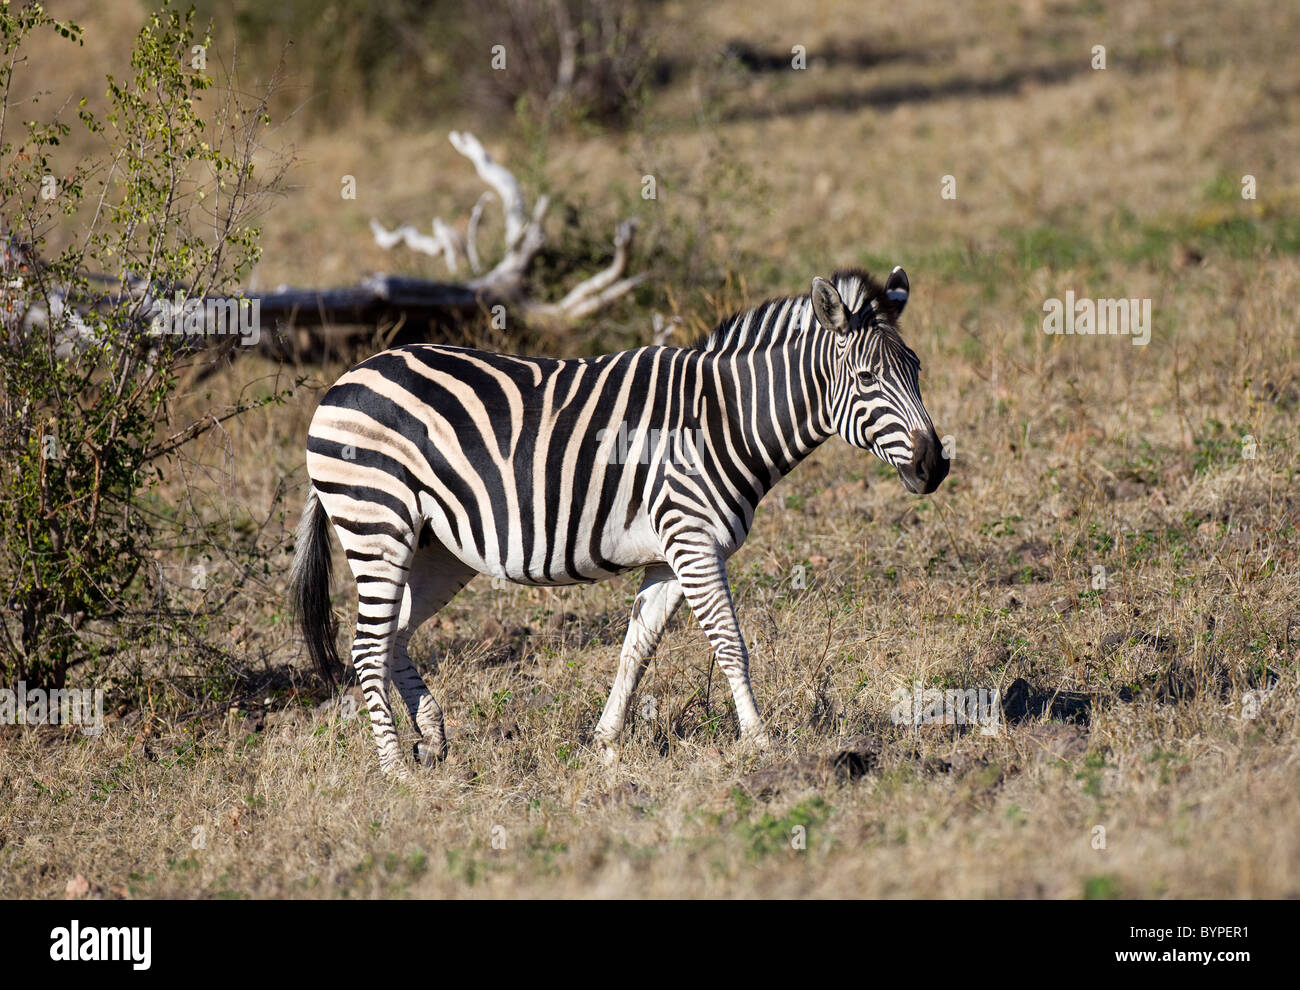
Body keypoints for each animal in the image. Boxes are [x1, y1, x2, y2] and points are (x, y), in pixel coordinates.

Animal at [291, 266, 948, 775]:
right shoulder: (692, 539)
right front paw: (761, 743)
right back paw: (395, 772)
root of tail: (346, 379)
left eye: (917, 369)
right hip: (377, 521)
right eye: (866, 379)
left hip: (436, 548)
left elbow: (638, 647)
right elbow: (730, 644)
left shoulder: (669, 557)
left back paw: (431, 737)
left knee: (395, 634)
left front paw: (605, 746)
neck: (725, 419)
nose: (935, 465)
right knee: (368, 646)